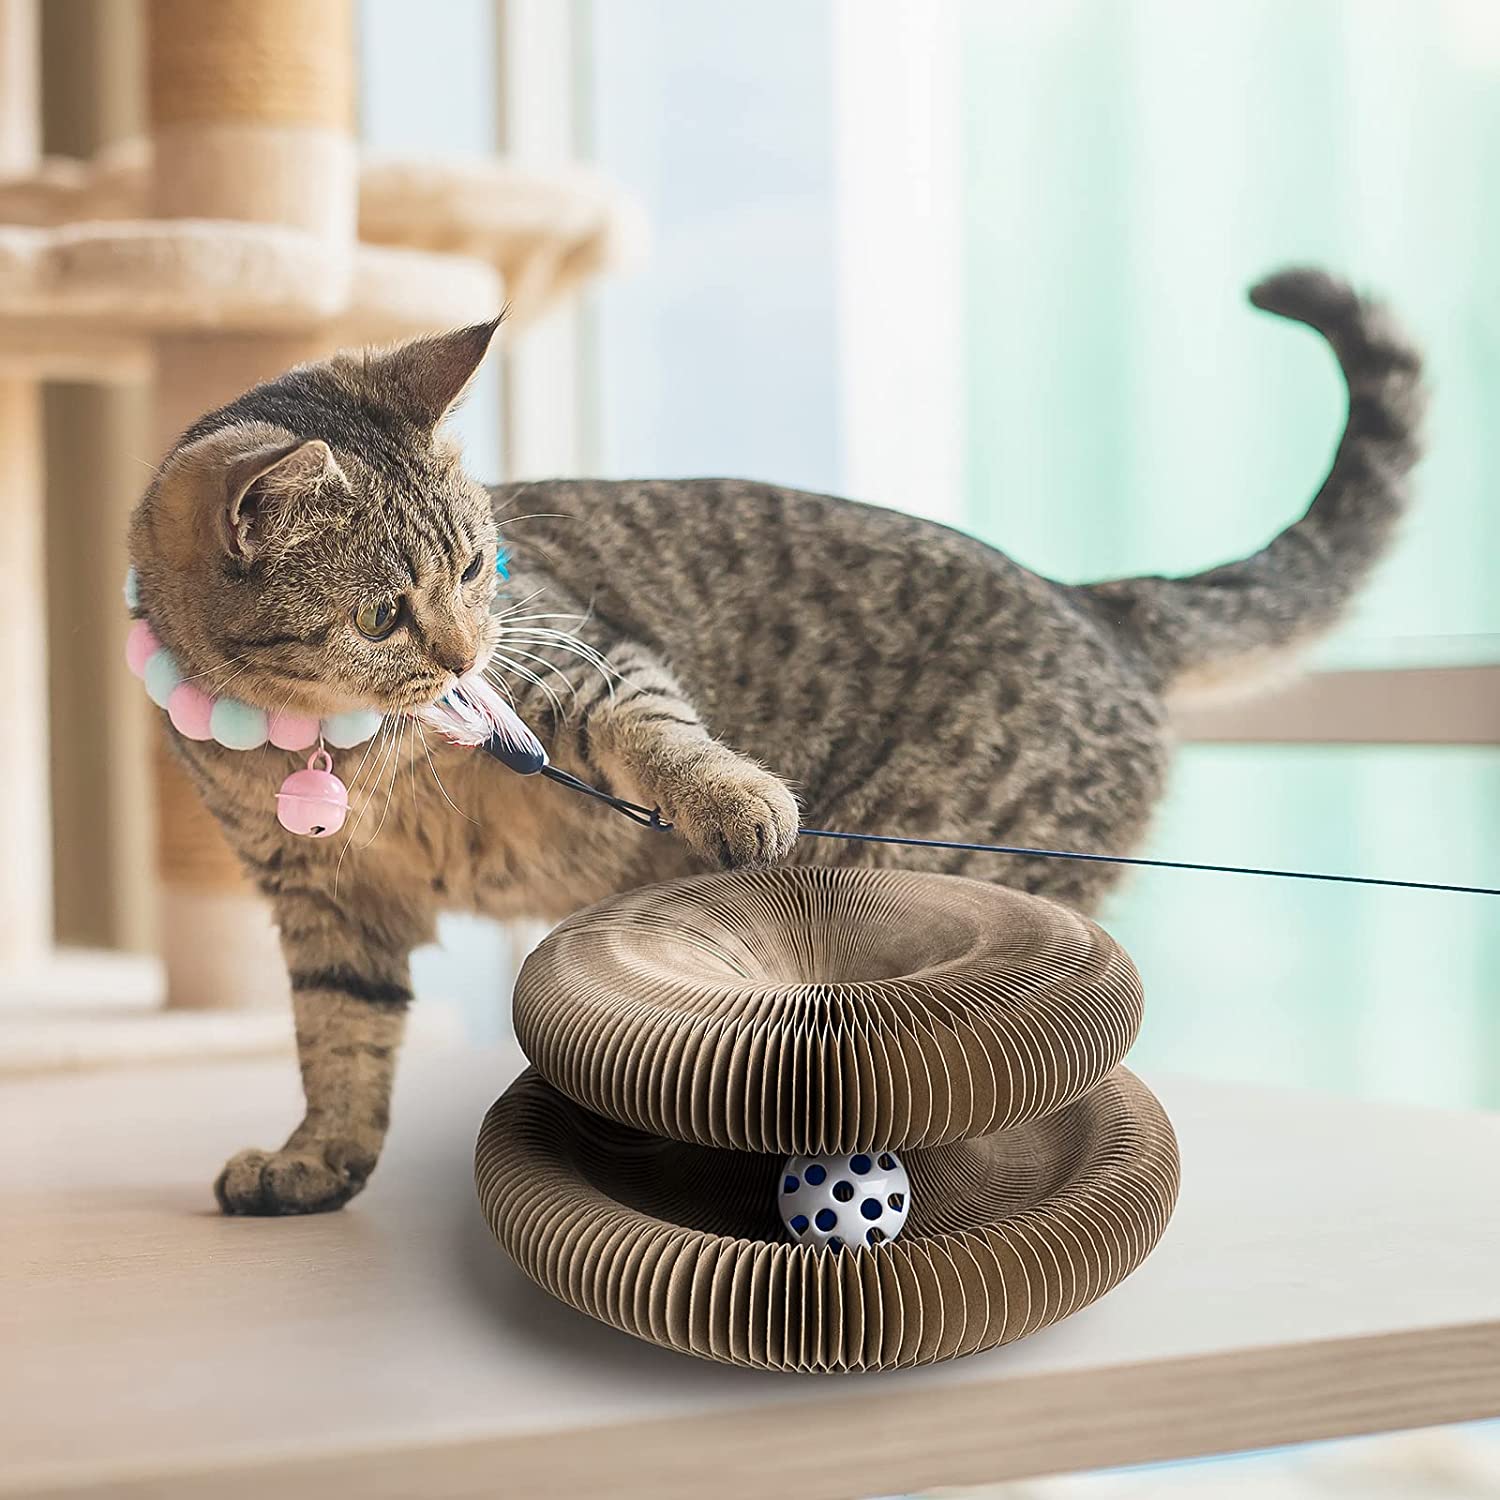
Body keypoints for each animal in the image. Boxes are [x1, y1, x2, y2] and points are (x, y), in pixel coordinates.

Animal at [126, 267, 1416, 1206]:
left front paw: (736, 800)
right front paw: (316, 1162)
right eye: (381, 614)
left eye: (479, 566)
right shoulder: (319, 898)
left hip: (929, 878)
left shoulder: (582, 657)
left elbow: (660, 730)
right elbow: (339, 1039)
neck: (338, 748)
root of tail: (1097, 601)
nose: (464, 654)